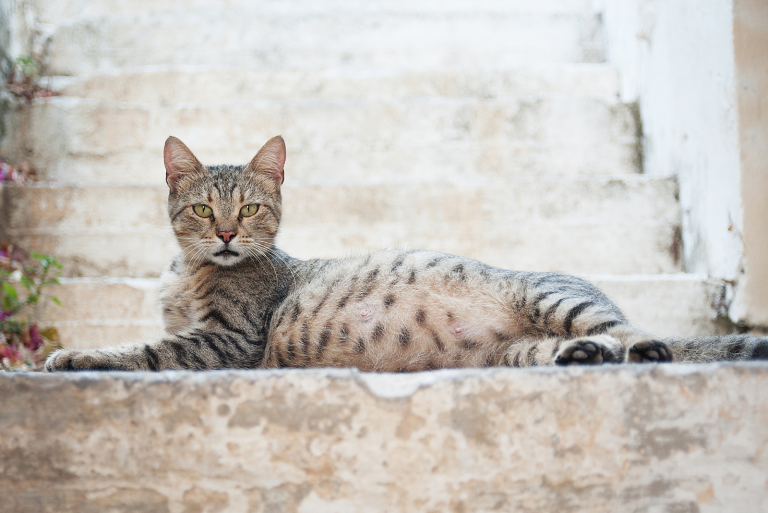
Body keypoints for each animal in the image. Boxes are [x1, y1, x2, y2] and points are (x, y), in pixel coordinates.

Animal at [46, 134, 768, 370]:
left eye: (248, 209)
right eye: (203, 209)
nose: (225, 234)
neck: (189, 271)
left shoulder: (227, 340)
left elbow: (143, 350)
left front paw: (74, 356)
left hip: (556, 296)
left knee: (643, 335)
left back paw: (642, 349)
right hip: (519, 351)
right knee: (584, 349)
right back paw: (585, 357)